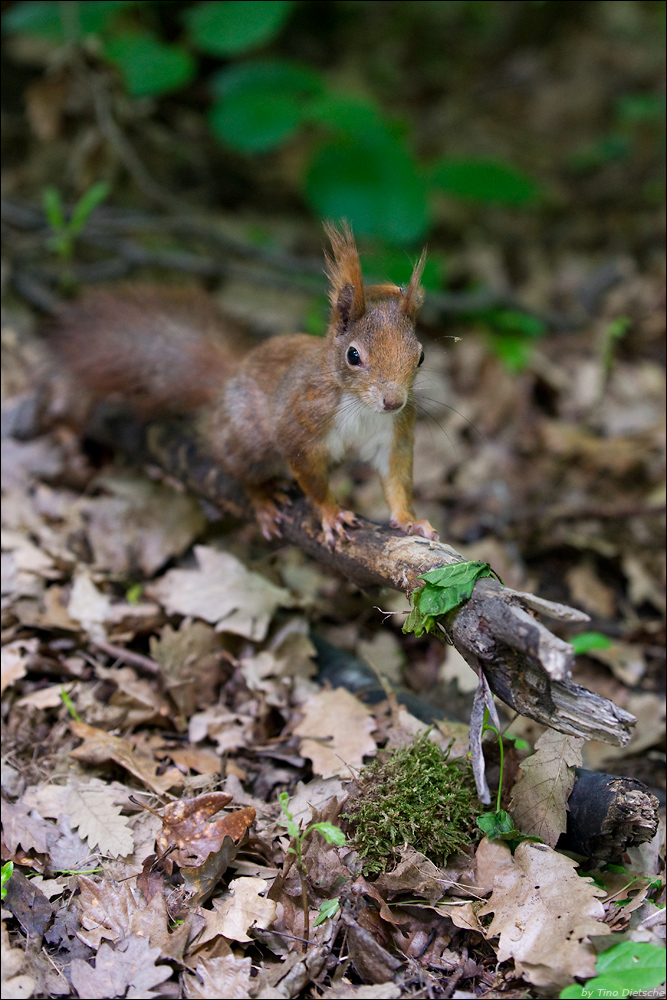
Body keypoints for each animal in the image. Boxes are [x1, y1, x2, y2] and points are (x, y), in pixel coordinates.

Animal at [51, 223, 438, 548]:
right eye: (353, 356)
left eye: (420, 356)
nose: (393, 401)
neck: (361, 407)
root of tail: (229, 377)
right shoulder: (300, 423)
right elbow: (311, 478)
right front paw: (330, 513)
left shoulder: (391, 435)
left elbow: (395, 478)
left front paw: (410, 520)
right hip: (248, 438)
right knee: (238, 471)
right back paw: (263, 499)